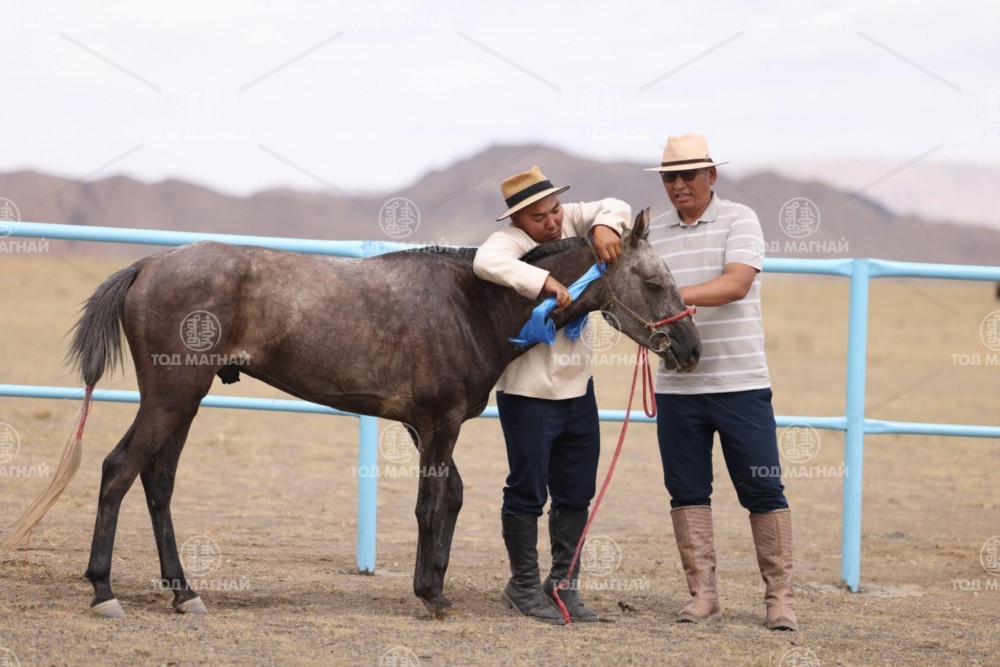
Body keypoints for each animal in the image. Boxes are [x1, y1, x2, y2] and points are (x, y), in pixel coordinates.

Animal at [1, 209, 700, 618]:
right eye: (655, 282)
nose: (690, 349)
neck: (476, 301)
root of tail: (151, 262)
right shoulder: (440, 426)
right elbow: (430, 506)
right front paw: (430, 597)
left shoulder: (425, 429)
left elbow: (451, 500)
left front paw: (435, 584)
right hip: (170, 397)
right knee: (119, 470)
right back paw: (104, 591)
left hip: (184, 401)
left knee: (157, 480)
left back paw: (185, 592)